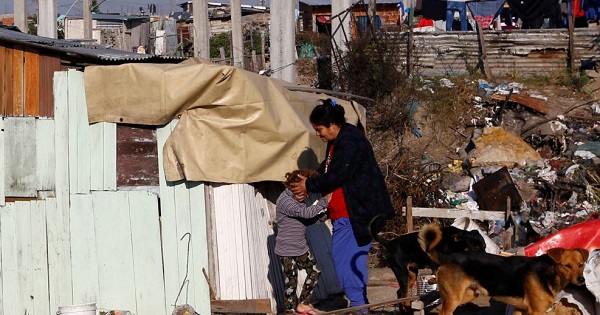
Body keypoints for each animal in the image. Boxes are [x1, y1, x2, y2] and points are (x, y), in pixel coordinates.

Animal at [422, 225, 592, 315]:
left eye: (581, 264)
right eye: (566, 265)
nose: (581, 280)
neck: (549, 273)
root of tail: (447, 258)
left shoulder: (520, 309)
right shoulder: (536, 311)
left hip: (467, 295)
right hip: (453, 299)